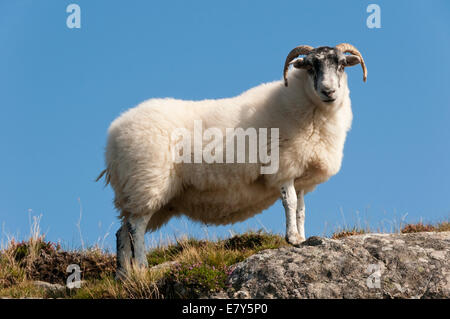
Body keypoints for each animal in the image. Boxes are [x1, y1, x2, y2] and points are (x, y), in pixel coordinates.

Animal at [97, 42, 366, 278]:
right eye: (310, 66)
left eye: (342, 65)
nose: (329, 91)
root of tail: (113, 135)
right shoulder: (284, 167)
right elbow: (289, 203)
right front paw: (293, 239)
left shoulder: (301, 176)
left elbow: (301, 210)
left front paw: (302, 236)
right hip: (146, 181)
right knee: (136, 228)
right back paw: (141, 267)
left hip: (144, 194)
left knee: (122, 231)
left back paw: (124, 275)